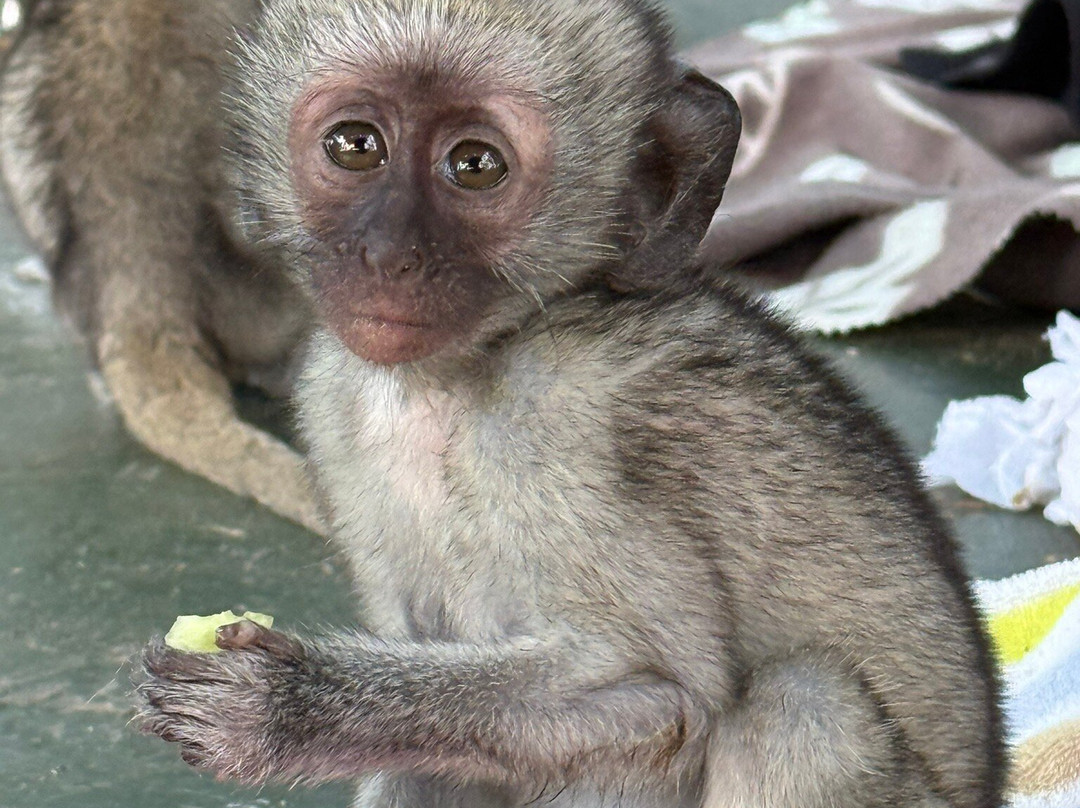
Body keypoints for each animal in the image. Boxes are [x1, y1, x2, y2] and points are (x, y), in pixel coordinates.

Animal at [137, 0, 1006, 806]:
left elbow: (663, 691)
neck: (454, 380)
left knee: (808, 703)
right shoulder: (333, 399)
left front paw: (293, 709)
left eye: (475, 165)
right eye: (356, 146)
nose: (386, 254)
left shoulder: (558, 424)